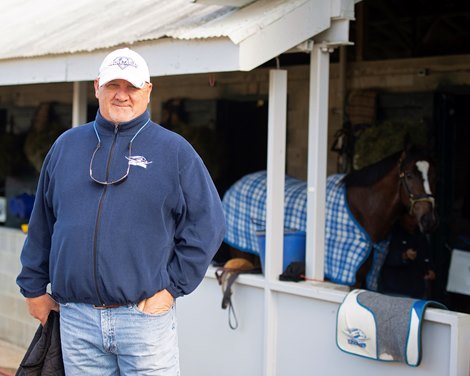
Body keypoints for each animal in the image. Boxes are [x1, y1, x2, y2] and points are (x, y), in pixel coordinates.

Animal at [222, 145, 438, 290]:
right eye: (409, 175)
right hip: (241, 253)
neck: (363, 211)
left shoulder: (362, 279)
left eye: (434, 176)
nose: (428, 221)